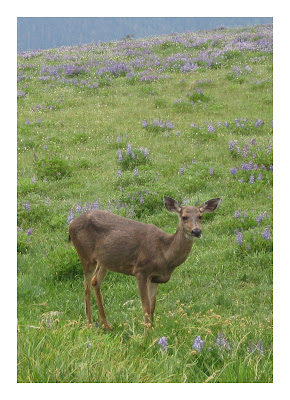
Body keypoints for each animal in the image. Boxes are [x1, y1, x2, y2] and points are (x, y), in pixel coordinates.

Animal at [69, 195, 221, 330]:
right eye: (184, 217)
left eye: (200, 216)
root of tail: (71, 224)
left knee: (95, 281)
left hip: (105, 261)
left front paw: (152, 330)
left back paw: (105, 325)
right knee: (86, 285)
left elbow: (152, 307)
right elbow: (145, 307)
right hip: (85, 255)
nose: (196, 231)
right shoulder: (141, 270)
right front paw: (146, 335)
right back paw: (89, 324)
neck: (164, 254)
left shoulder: (156, 278)